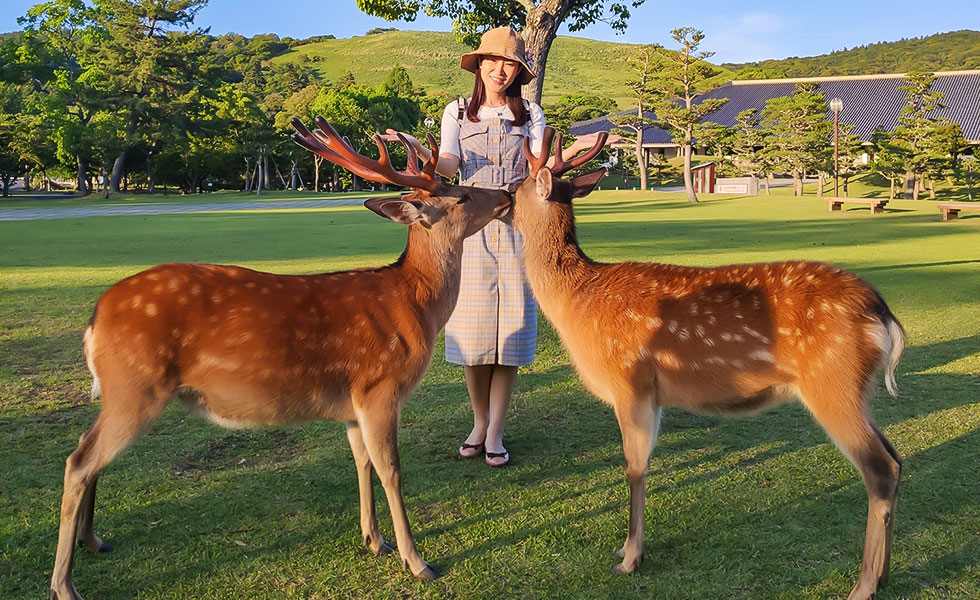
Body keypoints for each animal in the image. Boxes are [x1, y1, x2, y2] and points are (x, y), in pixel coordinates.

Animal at [48, 118, 512, 600]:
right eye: (461, 195)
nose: (508, 194)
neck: (414, 306)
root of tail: (94, 321)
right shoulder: (379, 386)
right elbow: (391, 470)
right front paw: (416, 561)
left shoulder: (354, 403)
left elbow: (362, 462)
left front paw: (374, 540)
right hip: (135, 387)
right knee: (78, 462)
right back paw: (64, 584)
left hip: (122, 392)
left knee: (86, 450)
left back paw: (93, 541)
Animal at [510, 127, 908, 600]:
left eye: (514, 190)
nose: (501, 207)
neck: (577, 302)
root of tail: (882, 313)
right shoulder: (654, 395)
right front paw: (626, 549)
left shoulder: (631, 382)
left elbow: (634, 468)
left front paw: (629, 558)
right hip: (855, 389)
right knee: (896, 457)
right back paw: (883, 574)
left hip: (832, 381)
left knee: (879, 467)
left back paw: (863, 585)